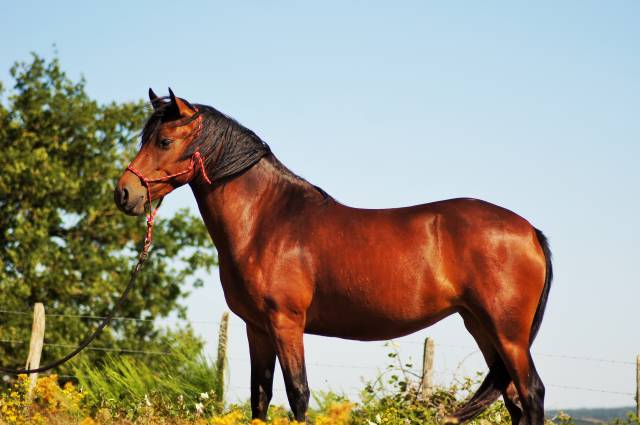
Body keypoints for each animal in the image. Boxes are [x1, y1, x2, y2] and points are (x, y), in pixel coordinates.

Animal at [115, 89, 552, 425]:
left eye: (163, 141)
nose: (124, 194)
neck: (267, 221)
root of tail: (530, 230)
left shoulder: (286, 323)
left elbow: (297, 393)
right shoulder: (257, 329)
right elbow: (260, 398)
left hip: (508, 333)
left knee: (531, 393)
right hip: (482, 327)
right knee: (514, 399)